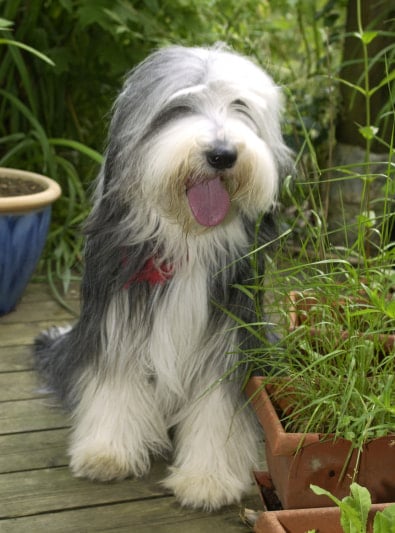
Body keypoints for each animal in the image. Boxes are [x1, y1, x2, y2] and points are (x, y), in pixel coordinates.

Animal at [34, 44, 290, 508]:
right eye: (179, 107)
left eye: (240, 106)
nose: (222, 154)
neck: (187, 241)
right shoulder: (117, 319)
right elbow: (114, 382)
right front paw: (107, 453)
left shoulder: (228, 335)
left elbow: (217, 406)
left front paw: (207, 478)